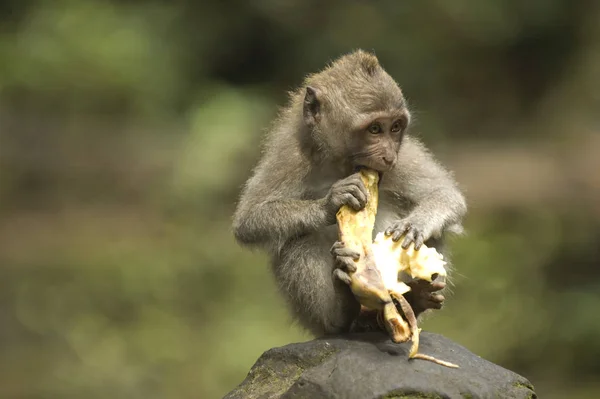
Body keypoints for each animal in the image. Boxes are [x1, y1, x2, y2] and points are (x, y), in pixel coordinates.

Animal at [232, 49, 466, 338]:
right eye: (375, 129)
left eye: (395, 127)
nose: (388, 156)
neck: (338, 165)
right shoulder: (289, 156)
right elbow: (249, 220)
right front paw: (330, 203)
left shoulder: (403, 155)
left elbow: (445, 194)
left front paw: (415, 224)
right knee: (298, 240)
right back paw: (342, 312)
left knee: (438, 232)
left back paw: (416, 300)